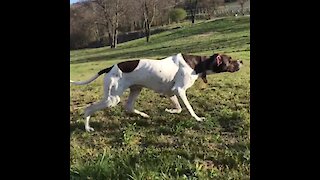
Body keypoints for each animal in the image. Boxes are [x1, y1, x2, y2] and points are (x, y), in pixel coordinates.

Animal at [70, 52, 242, 131]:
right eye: (230, 59)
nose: (241, 61)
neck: (197, 63)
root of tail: (109, 68)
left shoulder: (171, 92)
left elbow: (179, 108)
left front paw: (170, 111)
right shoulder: (180, 90)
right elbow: (189, 109)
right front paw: (198, 119)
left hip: (135, 89)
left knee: (129, 107)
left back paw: (144, 115)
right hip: (112, 99)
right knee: (89, 108)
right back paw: (87, 128)